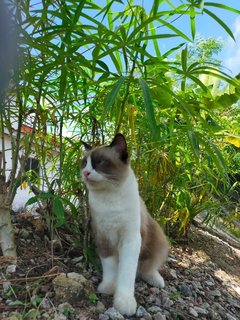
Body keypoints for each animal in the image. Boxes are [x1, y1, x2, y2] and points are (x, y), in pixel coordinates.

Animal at [81, 134, 170, 316]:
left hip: (158, 239)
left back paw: (156, 280)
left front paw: (124, 303)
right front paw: (109, 287)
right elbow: (110, 268)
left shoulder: (130, 240)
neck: (109, 198)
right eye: (84, 162)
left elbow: (126, 274)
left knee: (147, 267)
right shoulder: (103, 237)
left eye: (100, 162)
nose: (85, 172)